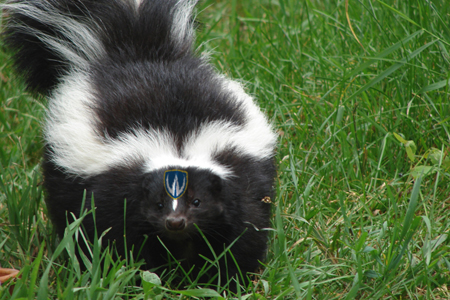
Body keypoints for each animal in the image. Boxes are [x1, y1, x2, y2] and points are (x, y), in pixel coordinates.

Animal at [3, 0, 276, 288]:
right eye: (158, 204)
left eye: (197, 201)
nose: (175, 222)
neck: (177, 145)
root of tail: (136, 49)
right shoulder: (111, 190)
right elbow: (115, 238)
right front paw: (135, 275)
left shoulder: (242, 178)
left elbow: (242, 234)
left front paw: (226, 279)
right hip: (62, 177)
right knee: (67, 214)